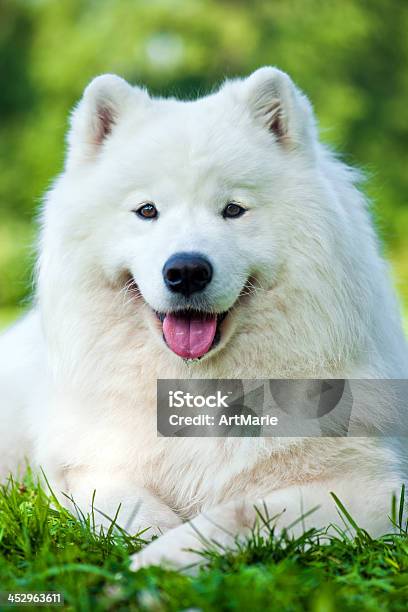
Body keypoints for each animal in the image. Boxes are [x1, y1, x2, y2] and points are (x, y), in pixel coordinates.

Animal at [0, 67, 408, 568]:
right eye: (147, 211)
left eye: (233, 210)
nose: (187, 271)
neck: (199, 385)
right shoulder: (88, 466)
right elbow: (124, 502)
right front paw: (146, 544)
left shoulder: (370, 490)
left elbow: (236, 514)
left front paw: (156, 561)